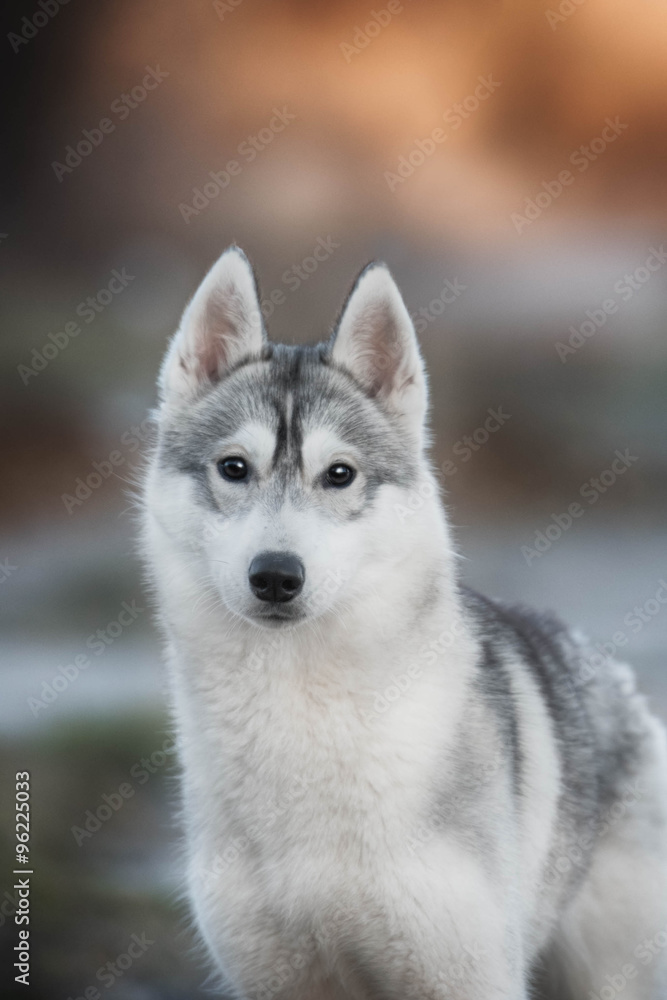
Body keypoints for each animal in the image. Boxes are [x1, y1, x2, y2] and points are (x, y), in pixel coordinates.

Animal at [141, 246, 667, 996]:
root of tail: (603, 668)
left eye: (339, 474)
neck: (299, 715)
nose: (275, 575)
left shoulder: (465, 973)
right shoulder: (278, 976)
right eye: (233, 468)